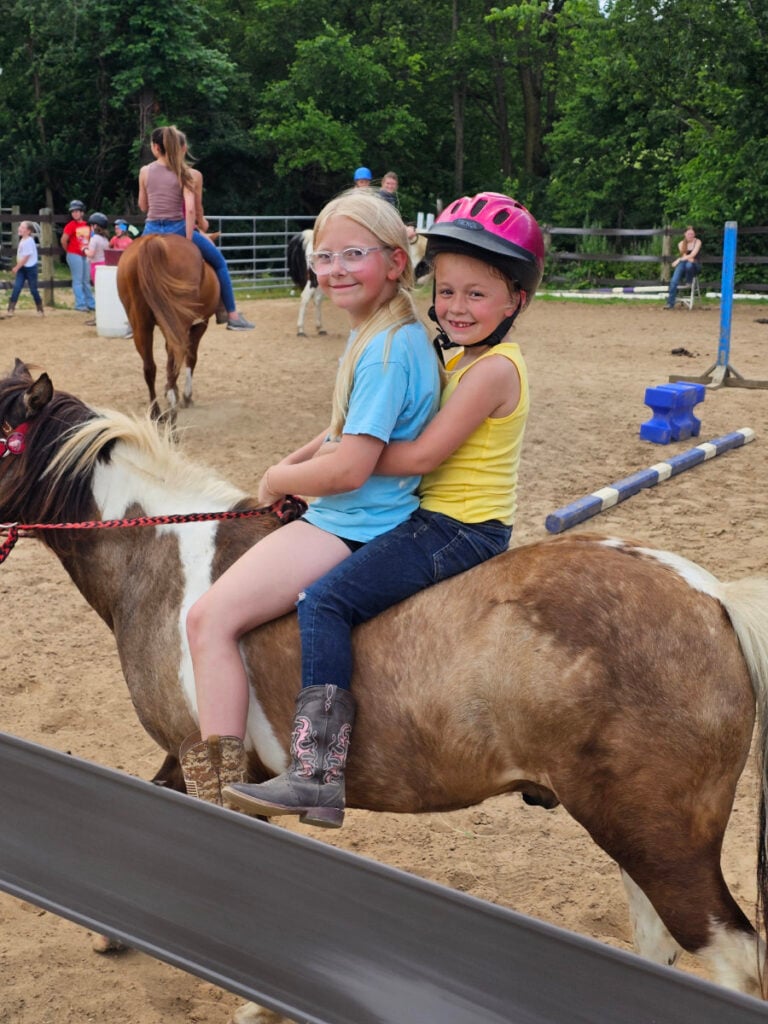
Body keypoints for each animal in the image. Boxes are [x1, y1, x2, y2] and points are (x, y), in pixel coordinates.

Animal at [4, 356, 768, 1003]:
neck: (165, 559)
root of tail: (709, 596)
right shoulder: (194, 756)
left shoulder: (204, 756)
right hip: (634, 834)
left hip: (664, 843)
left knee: (732, 959)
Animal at [116, 234, 220, 420]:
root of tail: (153, 240)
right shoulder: (201, 324)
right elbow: (191, 357)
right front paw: (186, 395)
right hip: (179, 323)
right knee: (174, 361)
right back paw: (172, 402)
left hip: (141, 325)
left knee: (150, 367)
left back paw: (156, 410)